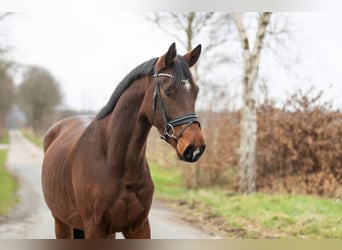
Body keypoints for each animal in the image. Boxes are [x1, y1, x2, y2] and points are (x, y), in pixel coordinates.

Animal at [40, 42, 206, 238]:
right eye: (168, 92)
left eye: (196, 92)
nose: (195, 147)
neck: (116, 163)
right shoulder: (95, 229)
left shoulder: (139, 227)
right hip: (61, 222)